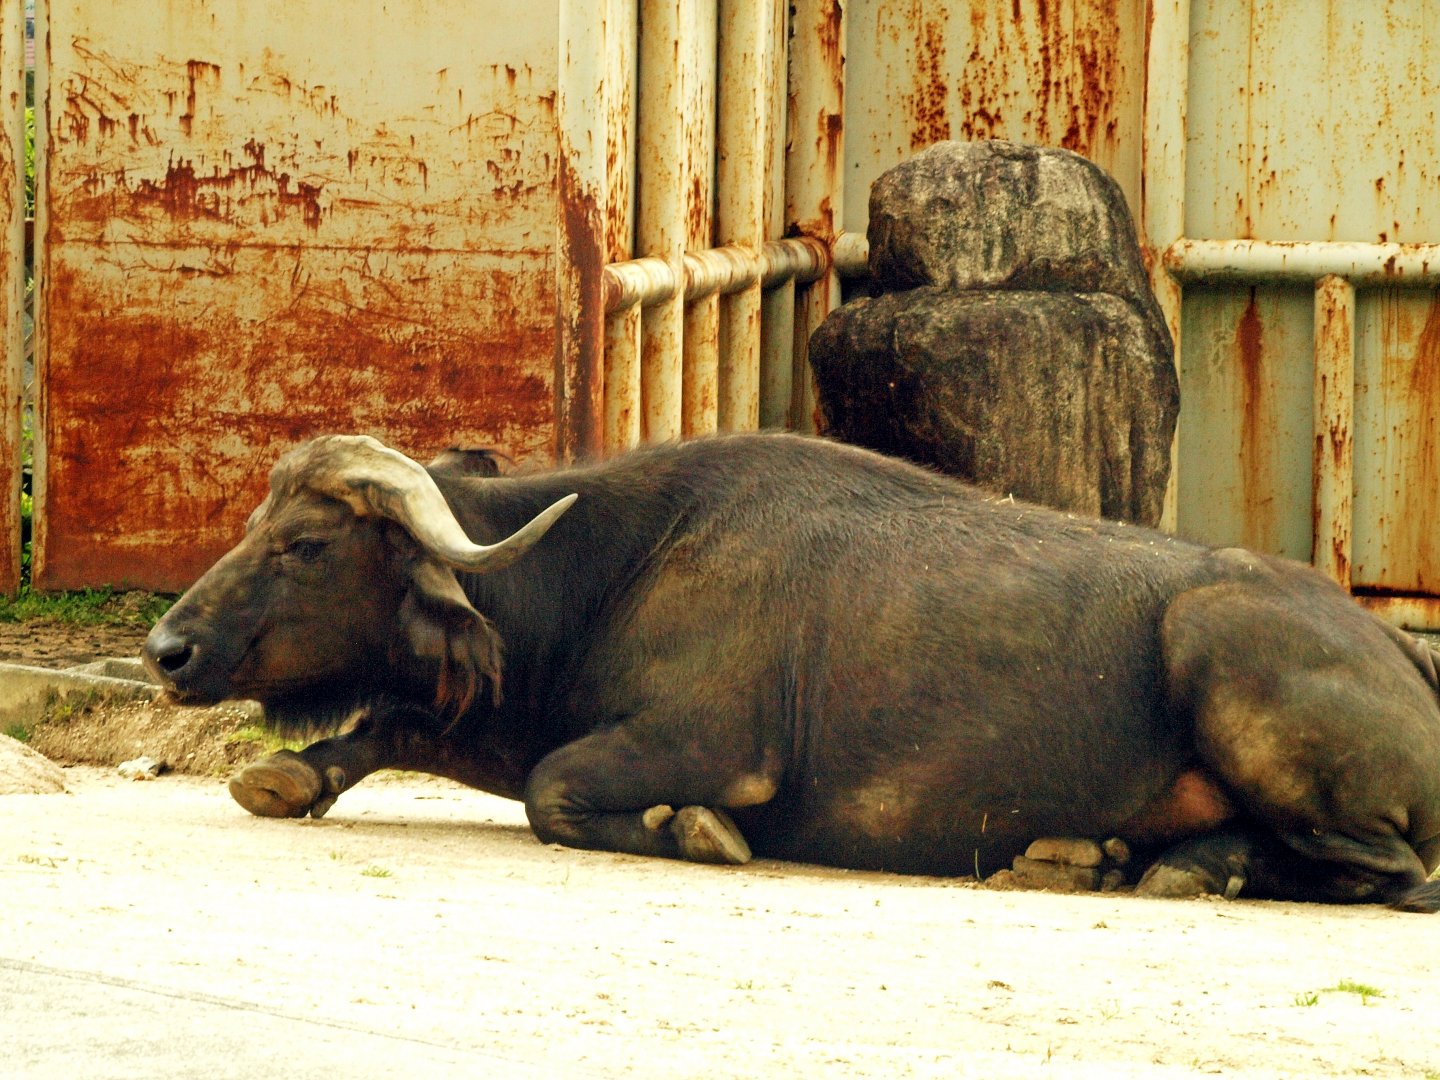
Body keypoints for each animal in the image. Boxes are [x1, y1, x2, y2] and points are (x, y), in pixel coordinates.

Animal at [143, 432, 1440, 910]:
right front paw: (296, 773)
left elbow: (559, 789)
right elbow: (410, 723)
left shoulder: (709, 748)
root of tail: (1401, 654)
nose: (167, 649)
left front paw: (693, 830)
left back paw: (1171, 866)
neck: (619, 566)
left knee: (1391, 874)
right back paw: (1102, 854)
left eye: (306, 545)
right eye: (256, 524)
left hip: (1227, 659)